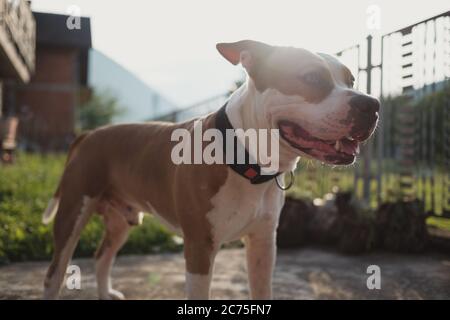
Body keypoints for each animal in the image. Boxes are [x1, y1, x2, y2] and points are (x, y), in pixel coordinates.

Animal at [43, 40, 380, 300]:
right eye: (311, 77)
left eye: (351, 81)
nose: (372, 104)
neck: (245, 158)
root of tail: (90, 134)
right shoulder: (199, 248)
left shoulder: (263, 243)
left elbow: (262, 290)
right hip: (73, 212)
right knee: (54, 273)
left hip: (120, 219)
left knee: (102, 257)